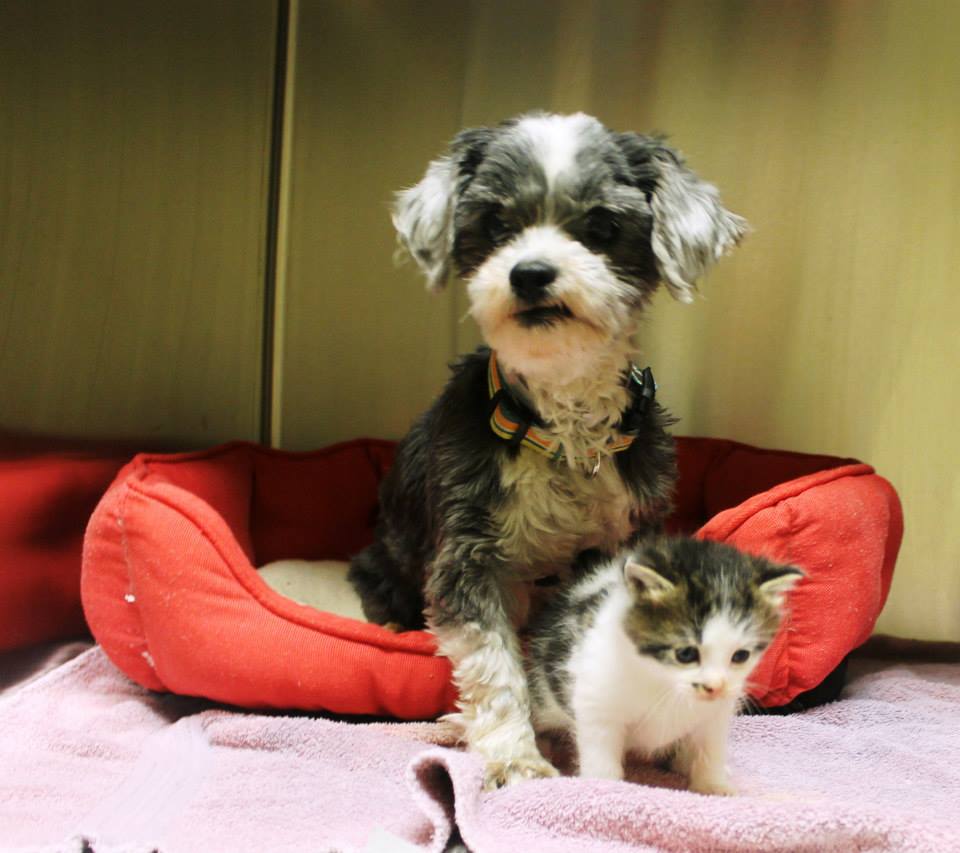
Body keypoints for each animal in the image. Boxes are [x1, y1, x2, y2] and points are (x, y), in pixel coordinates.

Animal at [348, 111, 748, 784]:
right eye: (496, 224)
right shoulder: (468, 557)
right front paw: (518, 758)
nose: (530, 273)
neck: (563, 429)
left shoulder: (629, 532)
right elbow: (494, 668)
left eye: (603, 226)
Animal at [524, 536, 804, 796]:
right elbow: (600, 751)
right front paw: (605, 787)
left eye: (740, 655)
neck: (662, 680)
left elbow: (710, 747)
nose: (714, 687)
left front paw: (712, 784)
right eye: (686, 653)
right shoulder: (596, 697)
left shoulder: (717, 712)